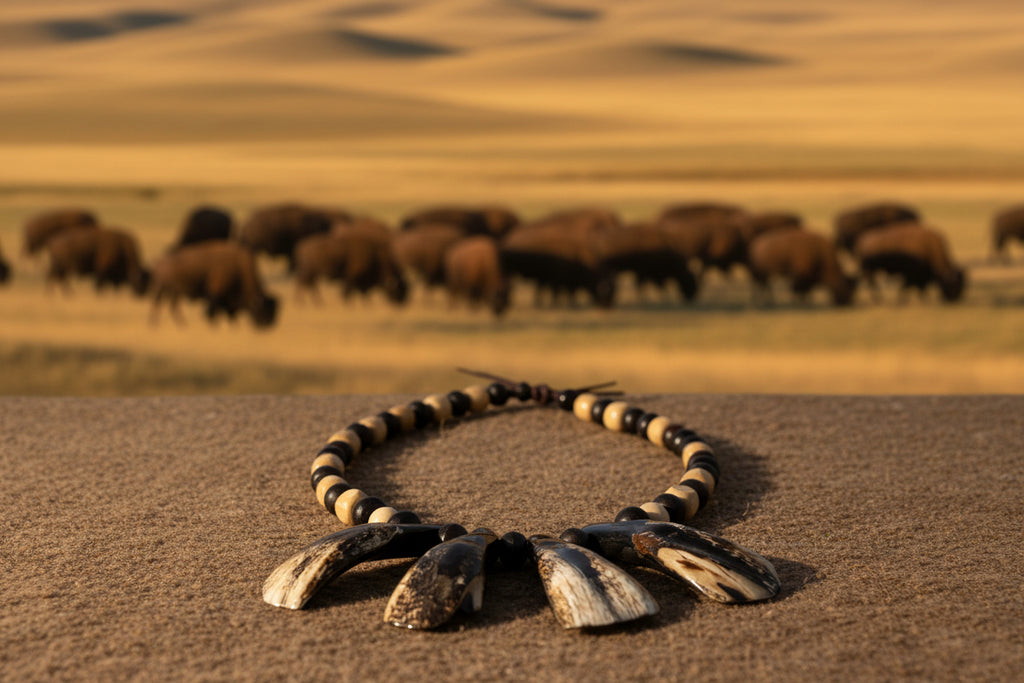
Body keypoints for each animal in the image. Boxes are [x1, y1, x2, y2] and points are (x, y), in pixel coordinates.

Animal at [150, 241, 278, 327]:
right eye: (262, 311)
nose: (268, 325)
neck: (238, 267)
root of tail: (159, 262)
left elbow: (229, 313)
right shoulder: (215, 294)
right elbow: (213, 311)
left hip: (174, 292)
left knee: (172, 306)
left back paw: (181, 324)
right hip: (163, 289)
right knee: (159, 303)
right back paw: (156, 323)